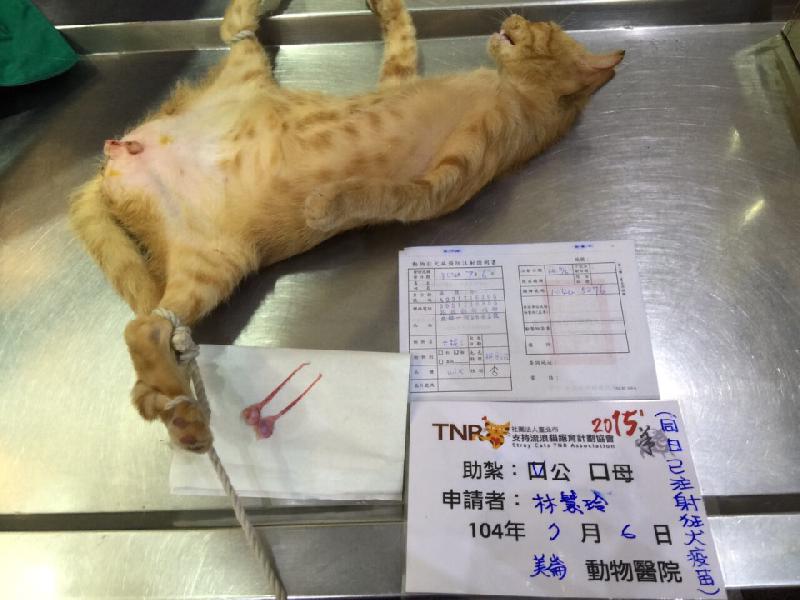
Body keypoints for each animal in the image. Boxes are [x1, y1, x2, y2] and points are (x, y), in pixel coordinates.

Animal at [69, 0, 623, 453]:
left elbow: (386, 192)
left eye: (542, 27)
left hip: (215, 266)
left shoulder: (448, 181)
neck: (510, 90)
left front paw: (325, 204)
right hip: (245, 84)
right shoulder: (397, 85)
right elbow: (403, 40)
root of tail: (117, 158)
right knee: (235, 26)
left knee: (145, 330)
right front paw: (389, 5)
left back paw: (182, 418)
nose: (515, 17)